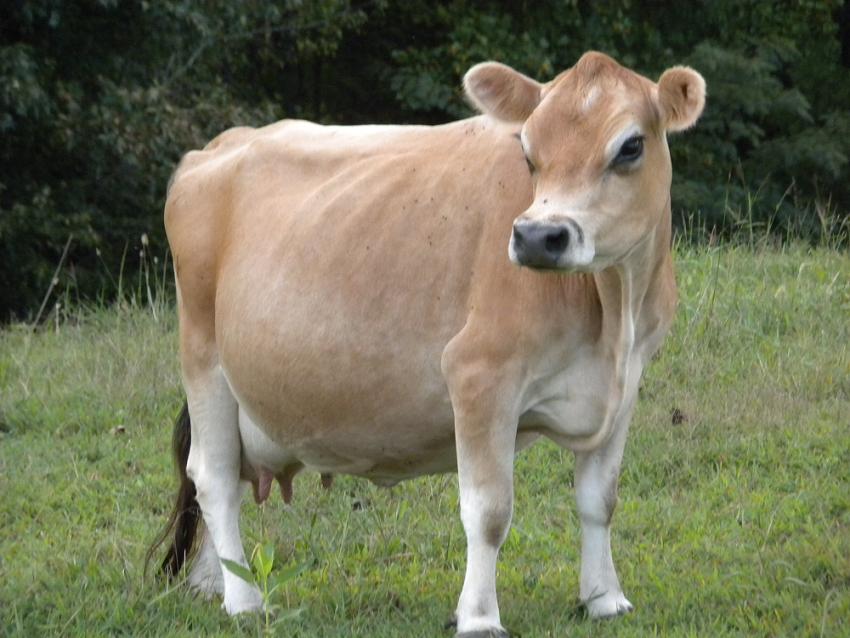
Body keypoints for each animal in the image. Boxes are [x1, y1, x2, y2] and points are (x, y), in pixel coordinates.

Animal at [150, 51, 705, 636]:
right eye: (528, 151)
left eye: (631, 146)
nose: (538, 237)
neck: (613, 310)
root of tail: (217, 146)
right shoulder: (478, 372)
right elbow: (488, 511)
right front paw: (480, 616)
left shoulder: (624, 382)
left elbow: (600, 499)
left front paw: (604, 598)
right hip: (204, 358)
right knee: (211, 475)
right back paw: (243, 598)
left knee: (229, 475)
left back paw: (211, 582)